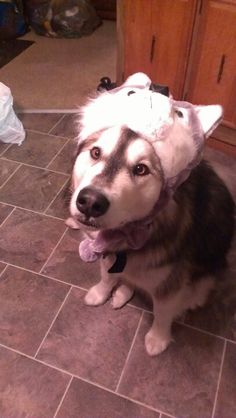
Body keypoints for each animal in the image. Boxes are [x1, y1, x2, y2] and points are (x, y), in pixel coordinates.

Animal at [67, 73, 235, 354]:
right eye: (96, 152)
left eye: (141, 169)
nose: (89, 203)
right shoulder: (107, 248)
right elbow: (106, 275)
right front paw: (102, 292)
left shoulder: (171, 283)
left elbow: (163, 310)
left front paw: (158, 338)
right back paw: (123, 291)